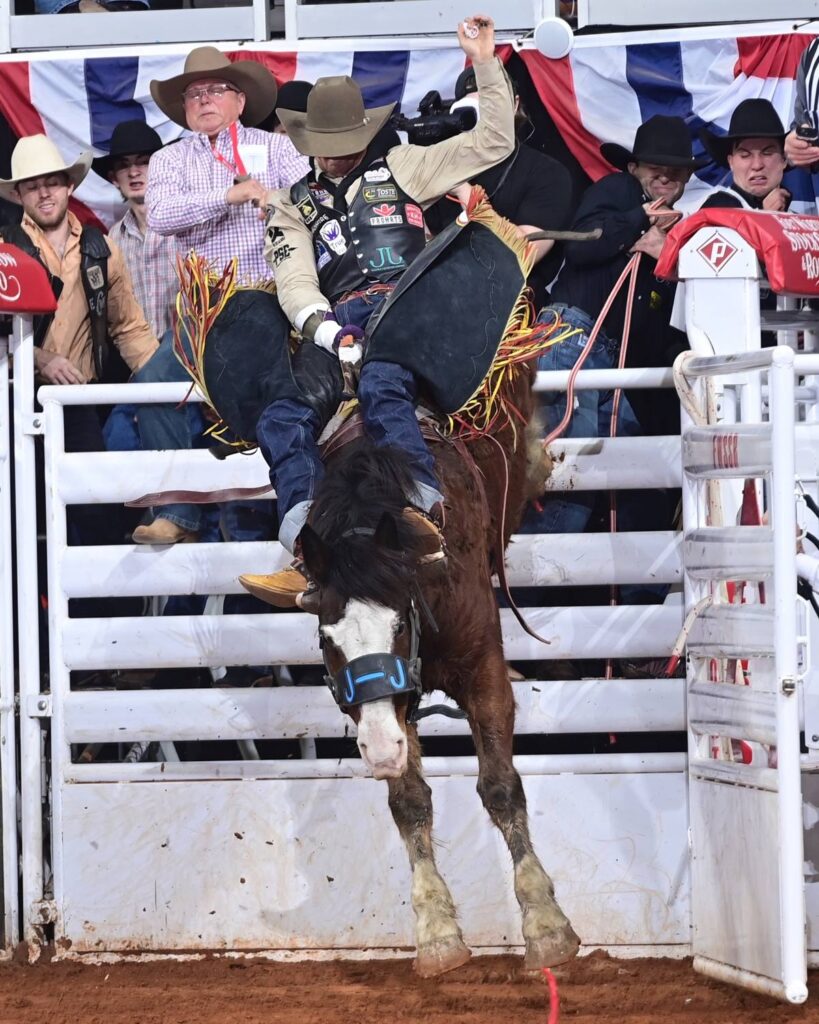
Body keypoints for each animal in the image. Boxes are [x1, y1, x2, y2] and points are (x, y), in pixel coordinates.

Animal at [296, 366, 577, 974]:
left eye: (400, 623)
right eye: (327, 639)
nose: (378, 750)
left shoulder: (483, 668)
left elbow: (500, 786)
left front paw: (546, 925)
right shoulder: (390, 708)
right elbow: (408, 801)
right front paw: (436, 932)